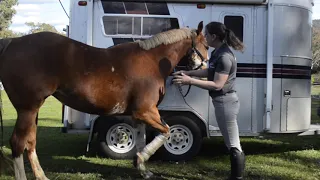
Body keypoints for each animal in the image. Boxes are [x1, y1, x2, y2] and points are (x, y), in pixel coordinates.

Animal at [0, 20, 208, 179]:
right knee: (18, 143)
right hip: (27, 109)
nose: (205, 67)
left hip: (32, 110)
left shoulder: (138, 116)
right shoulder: (146, 111)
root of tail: (13, 42)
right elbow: (166, 131)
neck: (152, 61)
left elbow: (142, 138)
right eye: (206, 45)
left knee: (30, 142)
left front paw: (141, 167)